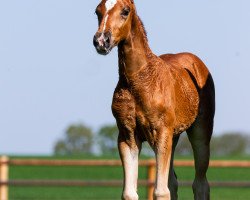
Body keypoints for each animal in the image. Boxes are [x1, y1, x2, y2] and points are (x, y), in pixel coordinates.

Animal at [93, 0, 215, 199]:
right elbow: (130, 193)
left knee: (200, 184)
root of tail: (197, 63)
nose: (102, 41)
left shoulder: (161, 134)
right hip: (173, 137)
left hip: (200, 132)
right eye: (97, 11)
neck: (137, 81)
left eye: (125, 11)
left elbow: (160, 191)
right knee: (173, 182)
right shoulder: (127, 137)